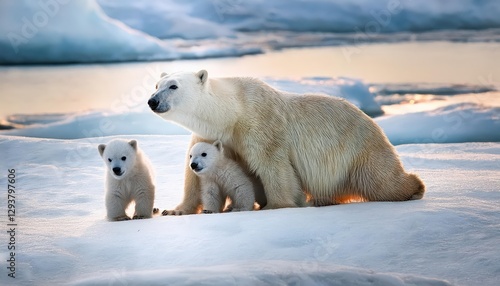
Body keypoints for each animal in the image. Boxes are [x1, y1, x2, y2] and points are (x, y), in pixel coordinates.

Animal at [146, 70, 424, 214]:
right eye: (157, 84)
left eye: (173, 86)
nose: (152, 101)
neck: (232, 112)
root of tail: (373, 123)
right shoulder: (210, 134)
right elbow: (194, 177)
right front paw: (175, 210)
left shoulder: (260, 124)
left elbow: (274, 165)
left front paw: (276, 206)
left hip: (358, 150)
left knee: (380, 180)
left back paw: (414, 187)